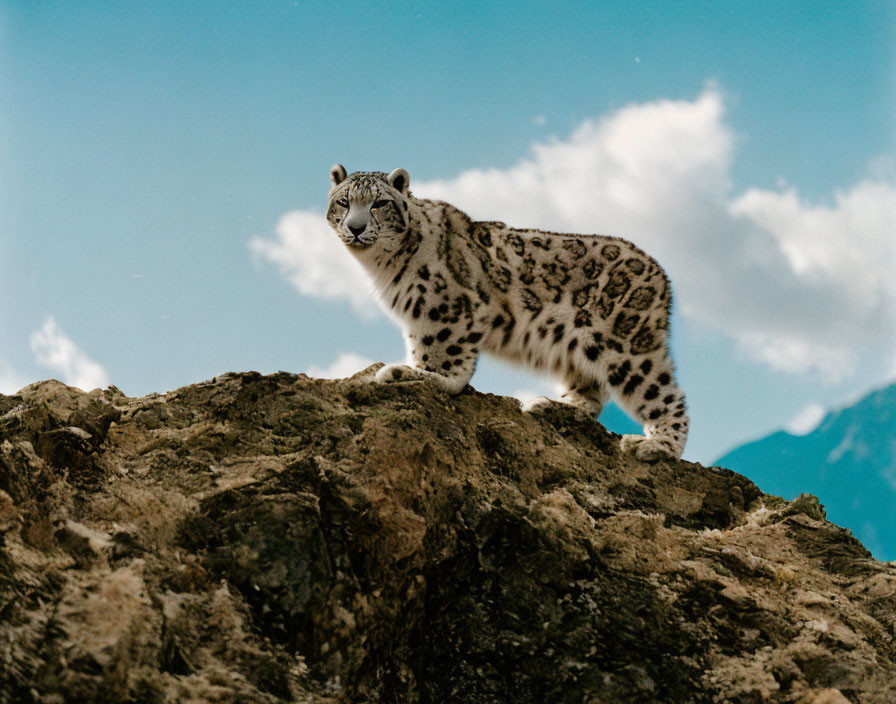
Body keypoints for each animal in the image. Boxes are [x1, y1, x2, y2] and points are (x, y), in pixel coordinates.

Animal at [326, 165, 688, 462]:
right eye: (343, 202)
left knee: (666, 394)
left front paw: (420, 373)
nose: (355, 227)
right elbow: (424, 346)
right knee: (590, 397)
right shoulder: (419, 315)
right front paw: (416, 369)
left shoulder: (448, 307)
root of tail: (662, 276)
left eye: (378, 203)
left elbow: (443, 352)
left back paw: (656, 446)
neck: (382, 266)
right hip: (578, 349)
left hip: (626, 345)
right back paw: (550, 406)